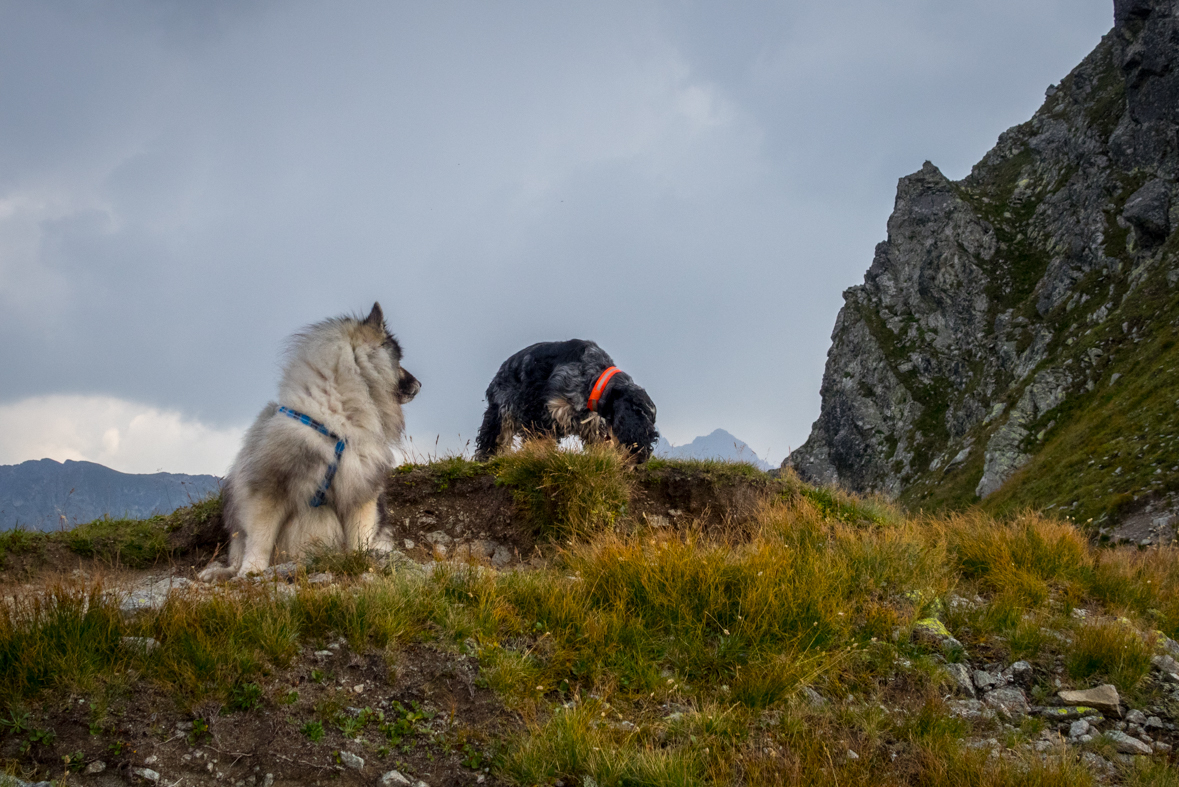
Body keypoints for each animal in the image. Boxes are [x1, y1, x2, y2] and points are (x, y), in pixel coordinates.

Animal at [473, 339, 660, 461]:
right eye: (641, 416)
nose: (642, 457)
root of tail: (500, 371)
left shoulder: (593, 425)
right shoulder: (542, 413)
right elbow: (540, 441)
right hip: (501, 412)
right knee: (492, 441)